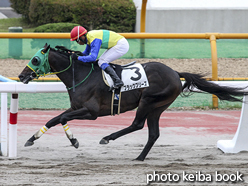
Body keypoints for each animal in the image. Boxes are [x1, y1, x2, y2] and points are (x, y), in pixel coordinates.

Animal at [18, 44, 246, 161]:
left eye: (35, 59)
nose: (21, 76)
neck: (81, 75)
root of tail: (174, 72)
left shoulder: (91, 112)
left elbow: (63, 118)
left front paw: (74, 141)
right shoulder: (76, 107)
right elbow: (53, 119)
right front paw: (31, 139)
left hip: (148, 101)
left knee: (137, 124)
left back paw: (108, 138)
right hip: (158, 107)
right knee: (153, 133)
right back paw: (140, 157)